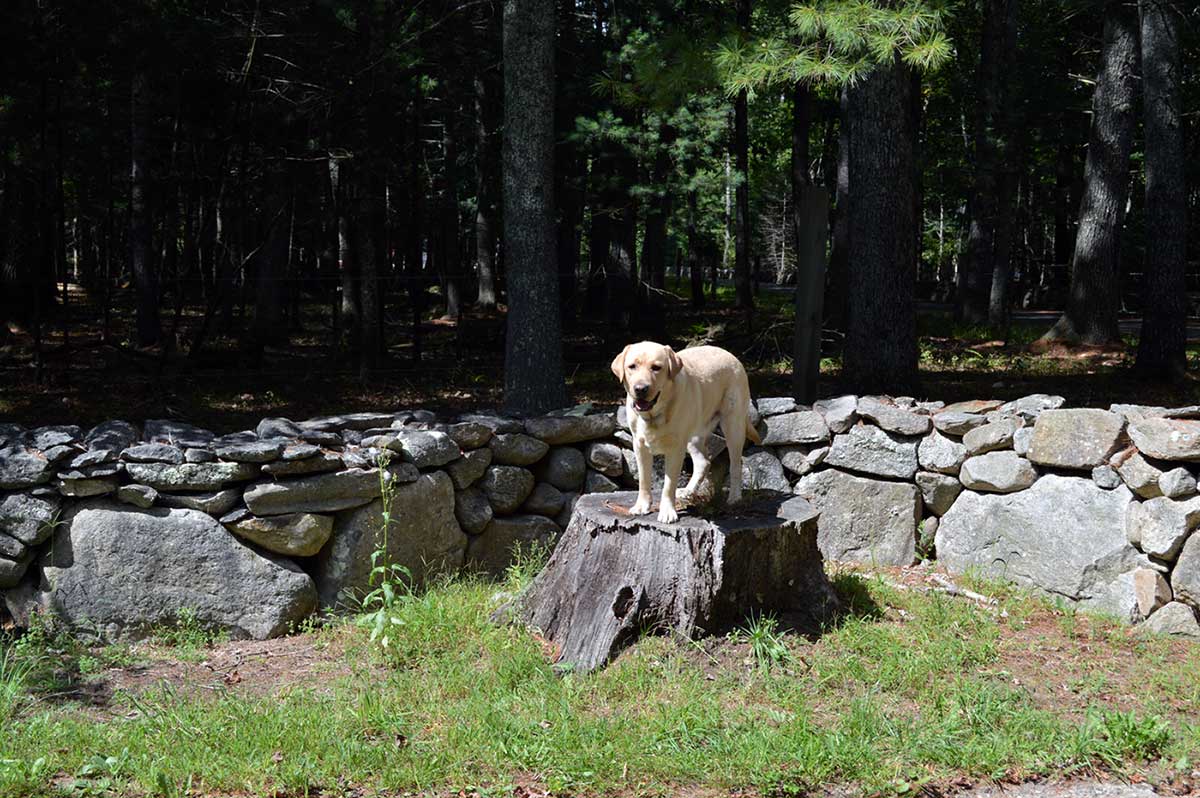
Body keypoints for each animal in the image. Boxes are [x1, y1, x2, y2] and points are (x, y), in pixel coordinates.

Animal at [609, 340, 758, 523]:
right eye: (632, 366)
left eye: (656, 367)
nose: (640, 388)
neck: (655, 414)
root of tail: (731, 355)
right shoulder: (639, 445)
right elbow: (644, 480)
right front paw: (642, 506)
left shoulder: (675, 448)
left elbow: (669, 484)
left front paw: (667, 511)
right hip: (694, 435)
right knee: (703, 462)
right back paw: (688, 490)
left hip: (733, 426)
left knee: (736, 464)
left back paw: (734, 497)